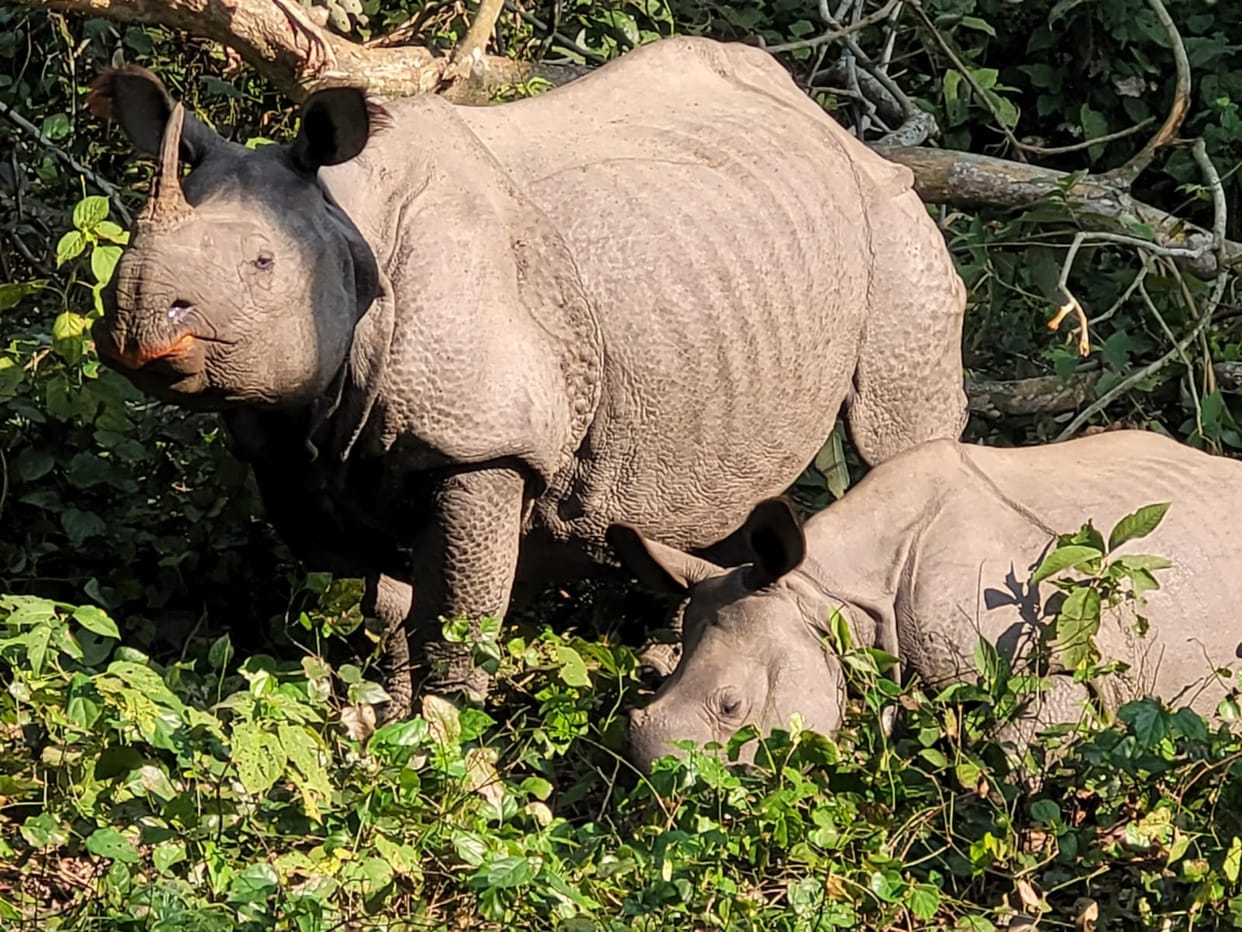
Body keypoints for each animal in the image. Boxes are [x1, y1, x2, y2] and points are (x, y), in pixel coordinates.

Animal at [87, 36, 967, 716]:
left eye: (264, 265)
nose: (136, 324)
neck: (346, 216)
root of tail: (827, 120)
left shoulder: (483, 441)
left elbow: (457, 616)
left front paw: (442, 746)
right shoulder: (321, 450)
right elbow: (394, 607)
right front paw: (383, 727)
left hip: (893, 220)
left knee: (899, 434)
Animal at [613, 430, 1242, 771]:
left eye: (731, 707)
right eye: (648, 678)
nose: (676, 800)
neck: (826, 591)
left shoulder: (1066, 659)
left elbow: (1011, 760)